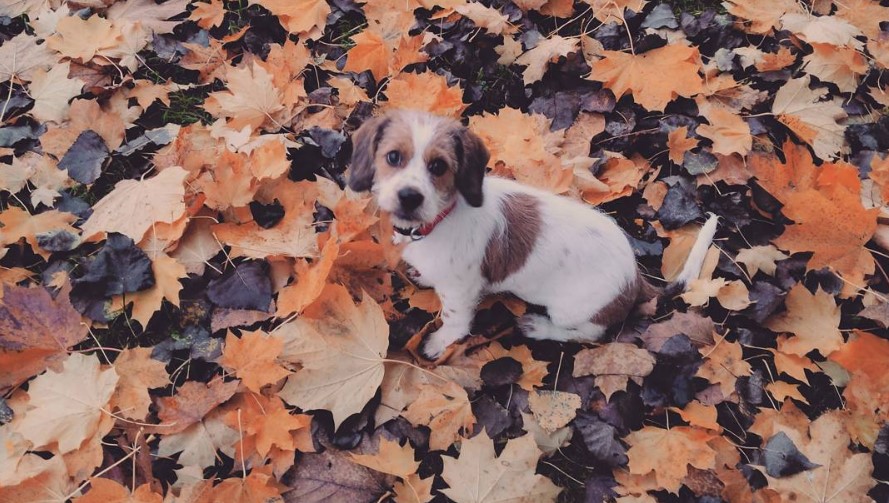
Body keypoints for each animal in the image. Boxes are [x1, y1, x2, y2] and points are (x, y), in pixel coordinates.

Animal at [346, 110, 716, 362]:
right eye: (393, 157)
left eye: (438, 166)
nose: (409, 197)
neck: (440, 219)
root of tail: (635, 277)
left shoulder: (460, 291)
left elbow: (455, 323)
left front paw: (439, 343)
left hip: (571, 310)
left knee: (589, 334)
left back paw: (540, 328)